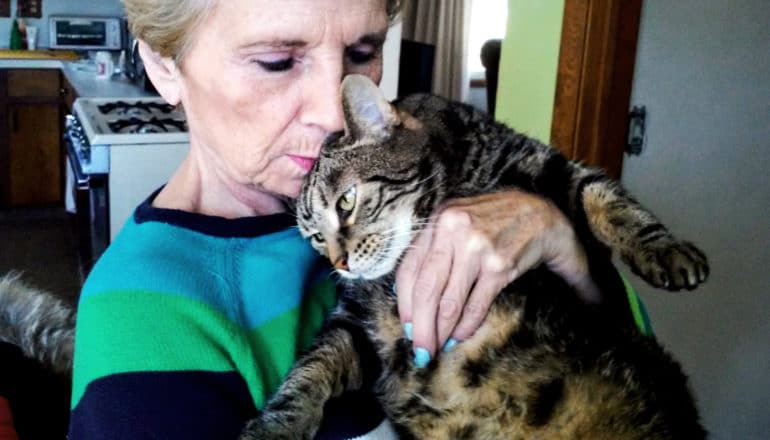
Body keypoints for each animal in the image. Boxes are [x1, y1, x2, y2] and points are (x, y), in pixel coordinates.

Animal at [240, 74, 708, 438]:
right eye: (316, 238)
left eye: (346, 202)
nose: (339, 263)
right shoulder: (355, 327)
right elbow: (307, 372)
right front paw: (274, 427)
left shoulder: (552, 168)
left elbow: (608, 198)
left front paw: (667, 250)